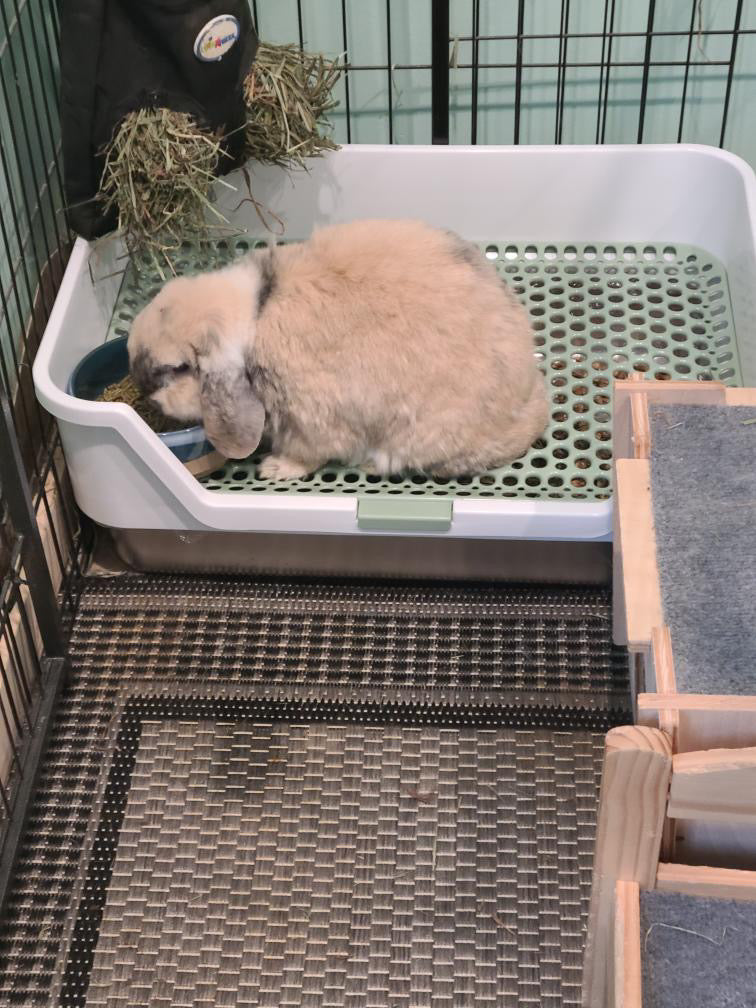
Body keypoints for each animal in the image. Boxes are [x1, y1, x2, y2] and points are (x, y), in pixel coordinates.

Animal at [128, 219, 548, 480]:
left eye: (179, 368)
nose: (142, 387)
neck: (255, 312)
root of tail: (530, 410)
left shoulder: (310, 419)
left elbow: (308, 454)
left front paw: (274, 469)